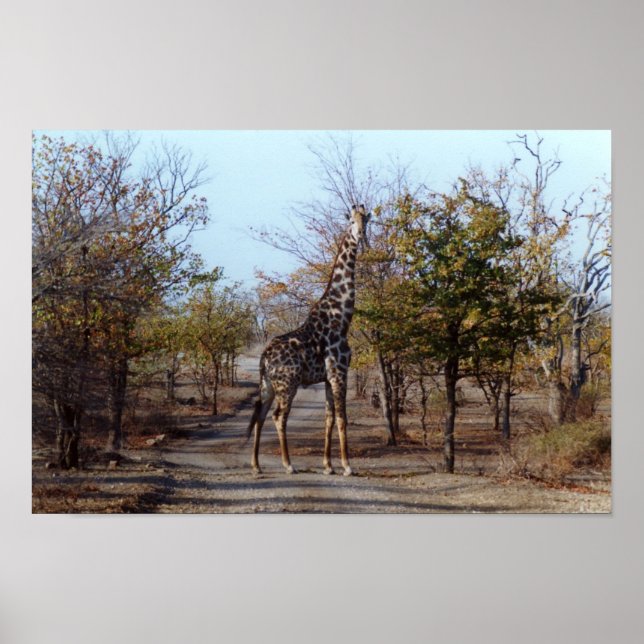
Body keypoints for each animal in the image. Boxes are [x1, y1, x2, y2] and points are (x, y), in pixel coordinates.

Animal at [247, 205, 371, 476]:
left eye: (366, 220)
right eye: (350, 220)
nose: (360, 234)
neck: (342, 316)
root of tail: (264, 358)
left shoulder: (327, 378)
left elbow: (329, 418)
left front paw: (328, 466)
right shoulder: (339, 373)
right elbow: (342, 418)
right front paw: (347, 466)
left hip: (268, 385)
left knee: (260, 414)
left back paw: (256, 466)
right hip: (287, 384)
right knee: (278, 416)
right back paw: (288, 464)